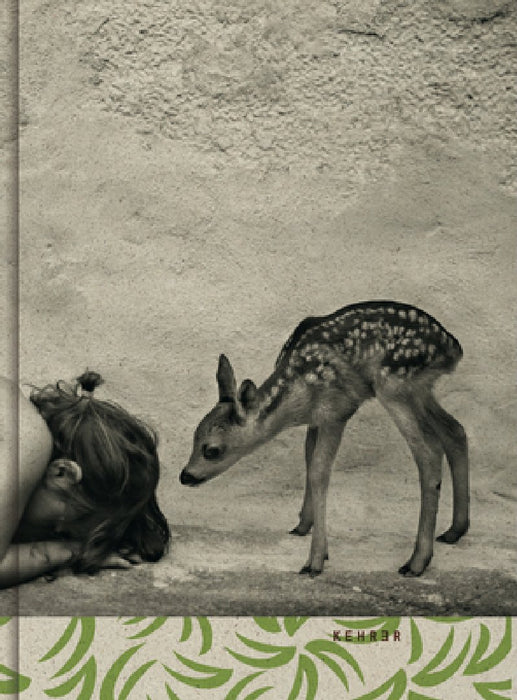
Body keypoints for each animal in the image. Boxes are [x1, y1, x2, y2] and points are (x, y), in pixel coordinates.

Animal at [180, 300, 469, 577]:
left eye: (212, 450)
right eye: (193, 437)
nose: (185, 476)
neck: (296, 397)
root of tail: (453, 347)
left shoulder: (336, 410)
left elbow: (319, 472)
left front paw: (315, 561)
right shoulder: (315, 420)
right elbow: (308, 461)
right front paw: (302, 525)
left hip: (394, 384)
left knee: (429, 452)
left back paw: (416, 562)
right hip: (419, 388)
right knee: (455, 430)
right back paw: (454, 531)